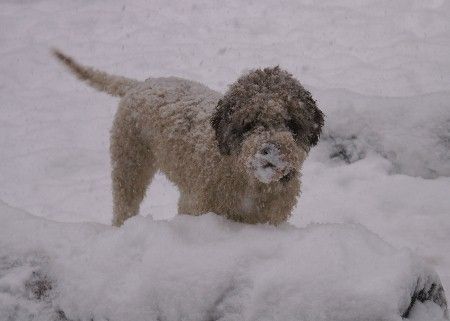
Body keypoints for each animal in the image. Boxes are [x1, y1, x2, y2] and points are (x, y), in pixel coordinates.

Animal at [53, 50, 324, 225]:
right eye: (249, 124)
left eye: (291, 123)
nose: (270, 150)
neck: (249, 182)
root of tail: (138, 85)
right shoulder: (196, 205)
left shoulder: (272, 216)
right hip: (130, 160)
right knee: (124, 202)